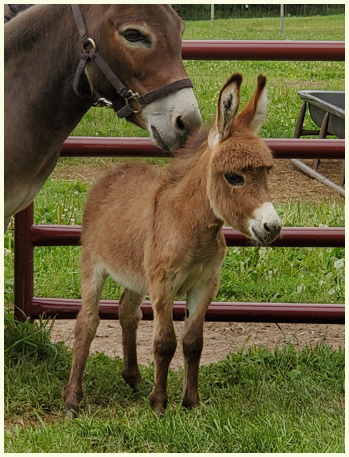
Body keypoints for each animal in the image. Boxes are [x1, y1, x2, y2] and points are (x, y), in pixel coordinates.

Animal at [62, 73, 280, 416]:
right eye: (234, 177)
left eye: (266, 173)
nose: (273, 227)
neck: (192, 228)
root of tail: (117, 169)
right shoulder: (163, 284)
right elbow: (165, 343)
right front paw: (159, 405)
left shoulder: (205, 285)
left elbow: (193, 343)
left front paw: (191, 403)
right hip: (93, 263)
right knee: (87, 322)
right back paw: (73, 399)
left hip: (136, 274)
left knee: (127, 312)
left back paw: (134, 379)